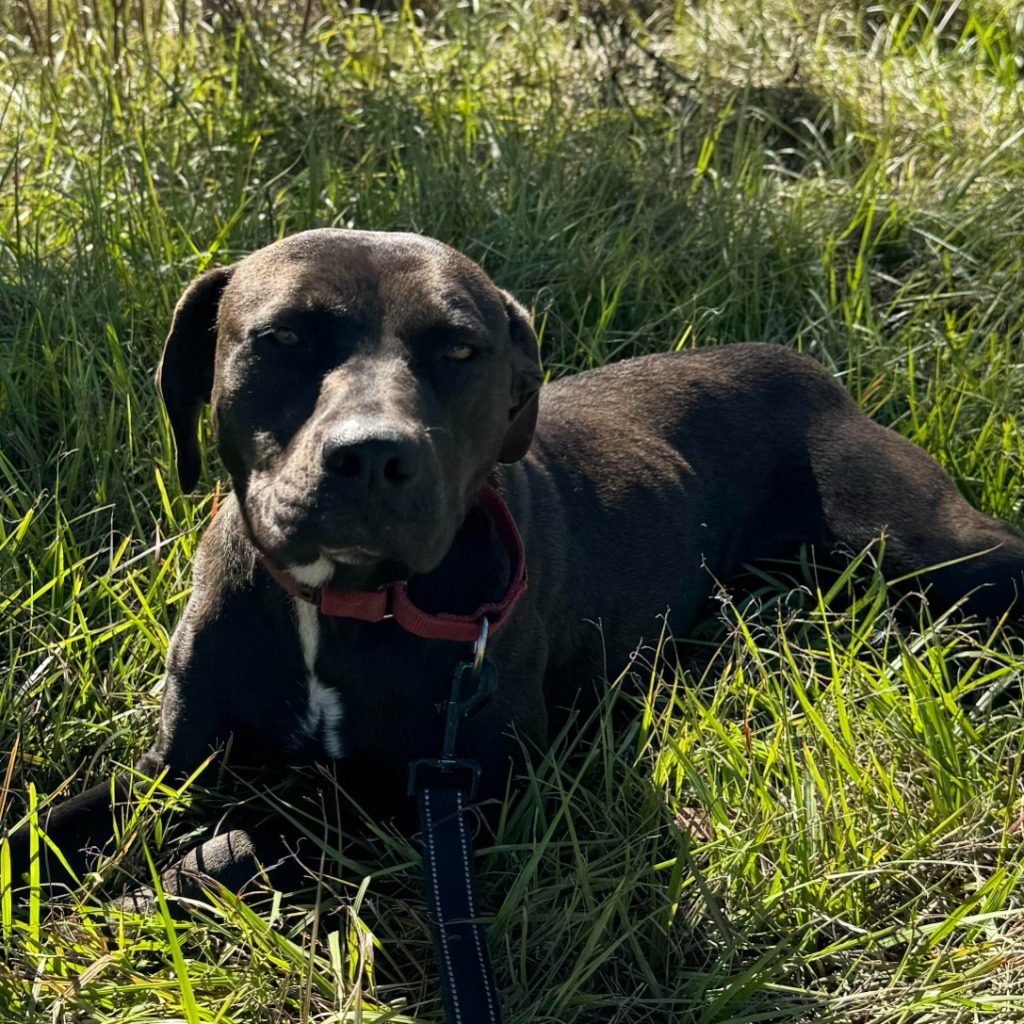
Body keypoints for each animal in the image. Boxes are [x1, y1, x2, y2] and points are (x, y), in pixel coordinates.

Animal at [6, 228, 1024, 901]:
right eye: (283, 337)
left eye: (461, 348)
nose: (371, 455)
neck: (339, 605)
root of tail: (811, 366)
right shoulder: (176, 758)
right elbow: (53, 815)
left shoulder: (463, 791)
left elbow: (295, 821)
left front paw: (183, 870)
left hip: (927, 546)